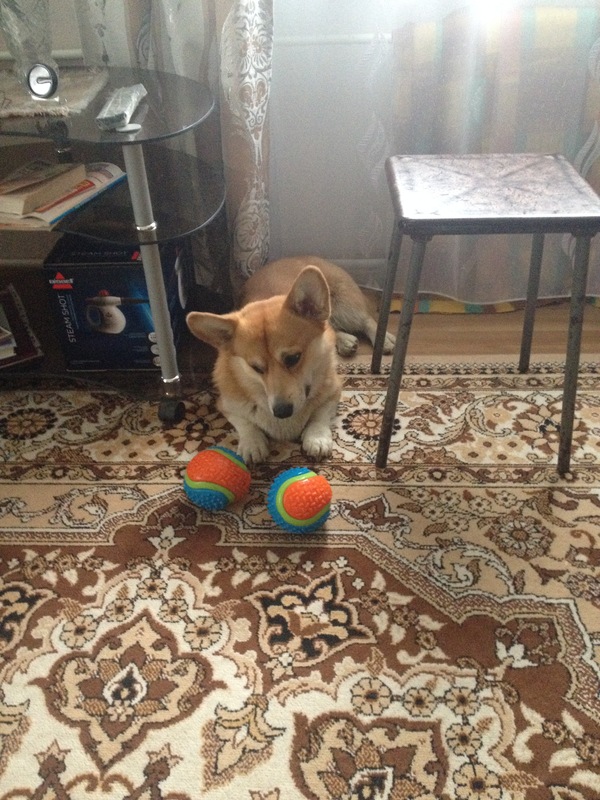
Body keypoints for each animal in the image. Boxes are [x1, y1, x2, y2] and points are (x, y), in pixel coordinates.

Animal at [185, 258, 396, 462]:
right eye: (255, 368)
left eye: (293, 358)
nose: (281, 412)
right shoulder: (226, 405)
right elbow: (245, 423)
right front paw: (252, 443)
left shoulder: (334, 392)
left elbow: (319, 416)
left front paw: (317, 438)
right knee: (331, 326)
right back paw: (345, 341)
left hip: (347, 307)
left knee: (366, 320)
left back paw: (384, 339)